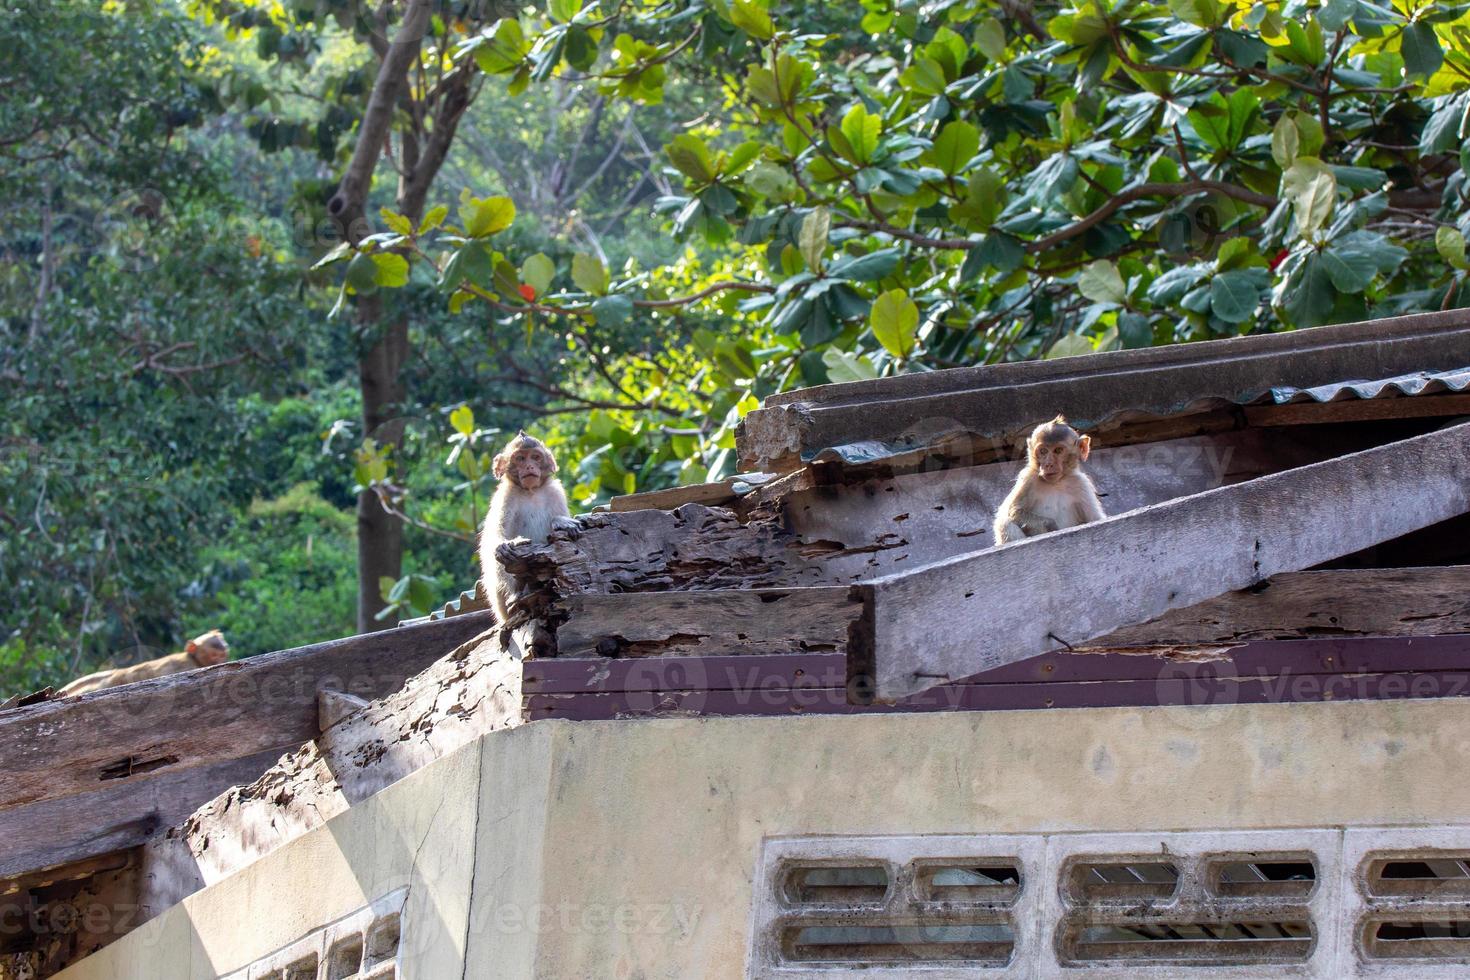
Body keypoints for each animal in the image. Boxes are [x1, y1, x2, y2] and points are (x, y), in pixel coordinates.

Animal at [59, 628, 232, 696]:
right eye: (214, 656)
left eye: (223, 655)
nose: (220, 661)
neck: (193, 659)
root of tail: (117, 672)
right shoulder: (186, 666)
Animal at [476, 431, 579, 620]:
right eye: (520, 458)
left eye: (536, 457)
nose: (530, 467)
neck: (531, 491)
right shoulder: (506, 496)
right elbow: (494, 537)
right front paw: (503, 546)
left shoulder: (555, 492)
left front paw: (561, 522)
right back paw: (517, 594)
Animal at [993, 417, 1105, 549]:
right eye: (1043, 451)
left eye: (1058, 450)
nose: (1048, 464)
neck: (1056, 483)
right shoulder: (1028, 478)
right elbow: (1014, 512)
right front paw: (1050, 525)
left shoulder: (1081, 484)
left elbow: (1095, 519)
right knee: (1005, 522)